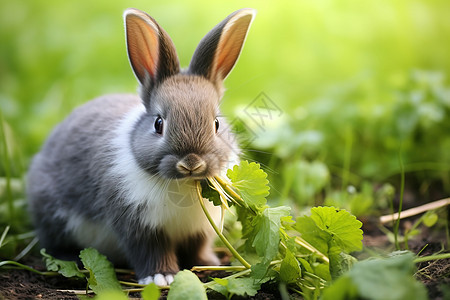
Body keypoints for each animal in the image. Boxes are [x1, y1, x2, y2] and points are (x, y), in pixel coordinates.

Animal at [26, 7, 255, 286]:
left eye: (216, 123)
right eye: (158, 123)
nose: (191, 163)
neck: (182, 185)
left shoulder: (198, 229)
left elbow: (196, 247)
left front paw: (208, 263)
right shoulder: (139, 225)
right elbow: (149, 250)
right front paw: (162, 277)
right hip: (54, 216)